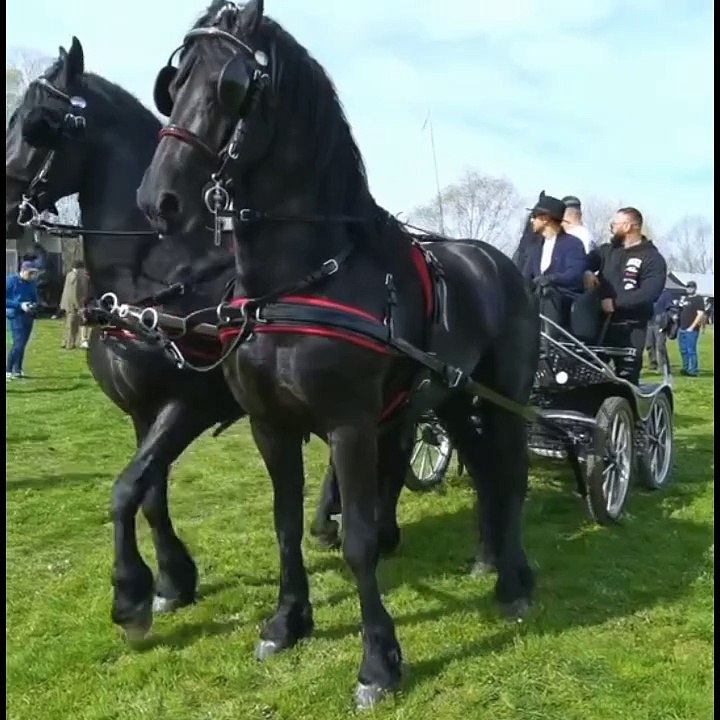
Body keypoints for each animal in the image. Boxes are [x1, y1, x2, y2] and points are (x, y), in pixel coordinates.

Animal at [4, 36, 346, 637]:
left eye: (37, 124)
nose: (1, 208)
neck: (156, 277)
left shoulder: (190, 403)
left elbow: (125, 488)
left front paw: (130, 594)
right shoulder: (143, 411)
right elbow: (150, 493)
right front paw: (171, 580)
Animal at [136, 0, 540, 707]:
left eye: (230, 86)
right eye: (174, 81)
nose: (159, 201)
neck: (300, 281)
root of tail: (500, 264)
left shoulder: (351, 426)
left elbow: (357, 541)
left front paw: (378, 662)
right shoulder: (271, 426)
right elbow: (285, 525)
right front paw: (286, 621)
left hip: (507, 396)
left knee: (511, 474)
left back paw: (513, 582)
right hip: (453, 397)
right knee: (486, 471)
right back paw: (489, 558)